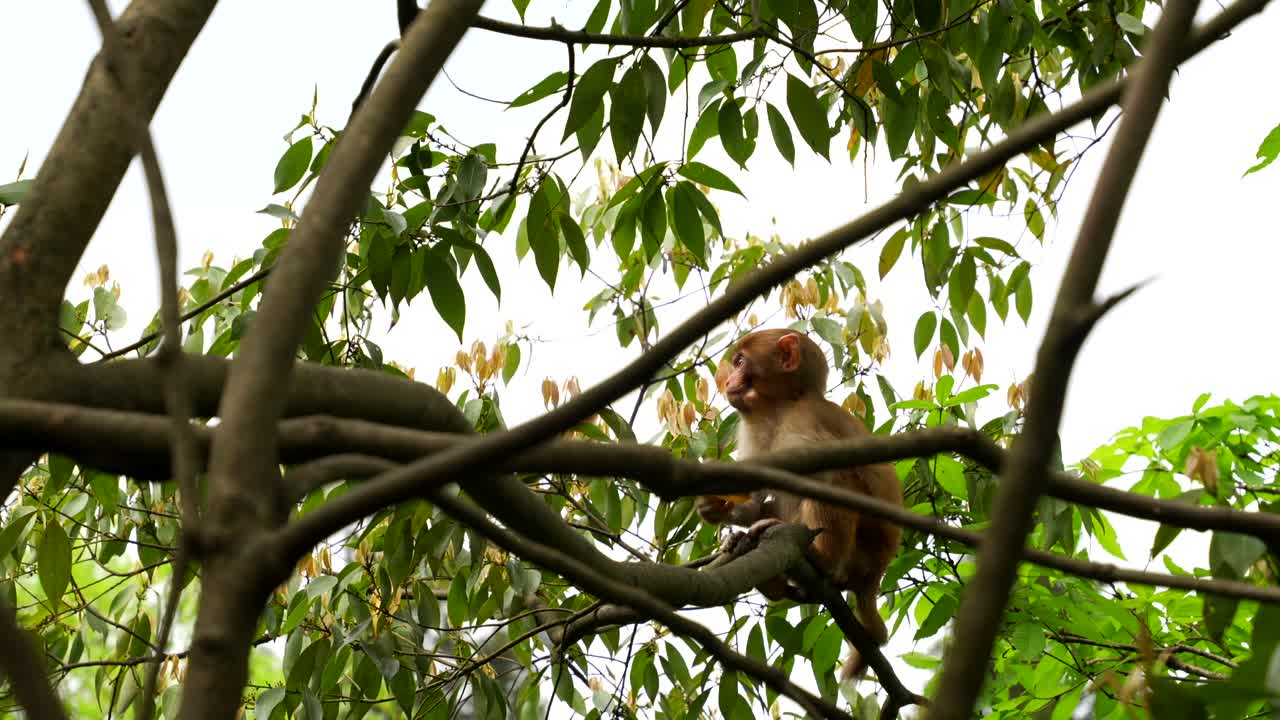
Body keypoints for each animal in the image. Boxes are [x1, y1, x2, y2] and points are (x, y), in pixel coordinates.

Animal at [698, 328, 903, 680]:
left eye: (739, 362)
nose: (726, 381)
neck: (780, 408)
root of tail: (875, 574)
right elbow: (756, 498)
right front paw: (717, 508)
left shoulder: (803, 420)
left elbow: (824, 476)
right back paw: (772, 579)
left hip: (864, 551)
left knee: (834, 479)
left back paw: (820, 560)